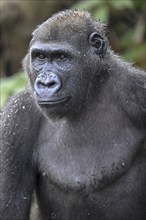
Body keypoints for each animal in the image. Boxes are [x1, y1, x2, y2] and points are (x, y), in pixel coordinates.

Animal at [0, 9, 145, 220]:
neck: (92, 88)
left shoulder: (138, 91)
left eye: (62, 57)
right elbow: (9, 206)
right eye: (40, 57)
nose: (46, 83)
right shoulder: (15, 120)